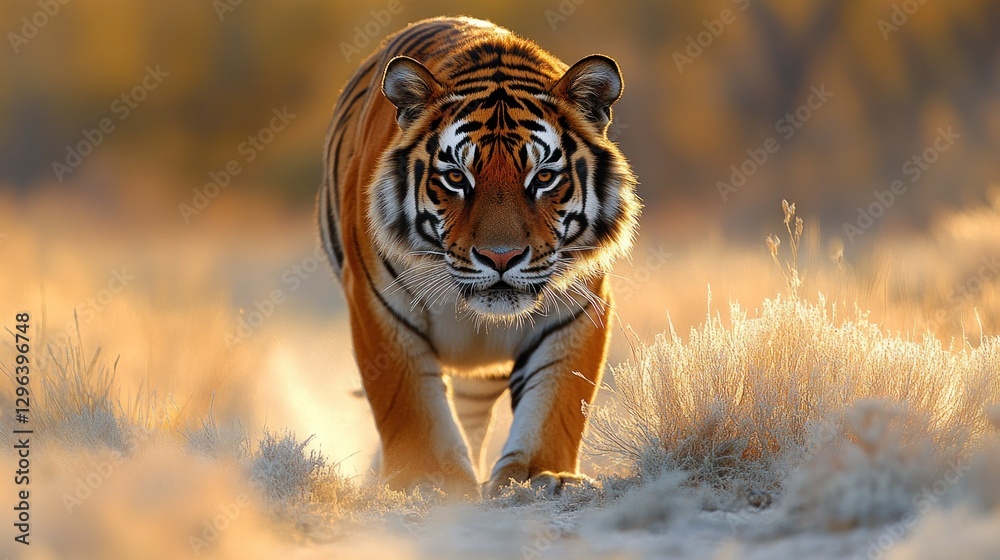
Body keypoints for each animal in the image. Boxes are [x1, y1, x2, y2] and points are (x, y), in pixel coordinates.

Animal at [318, 16, 640, 498]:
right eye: (456, 178)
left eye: (543, 177)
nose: (500, 257)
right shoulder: (377, 303)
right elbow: (406, 399)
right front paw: (428, 477)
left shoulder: (579, 307)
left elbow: (559, 398)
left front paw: (542, 476)